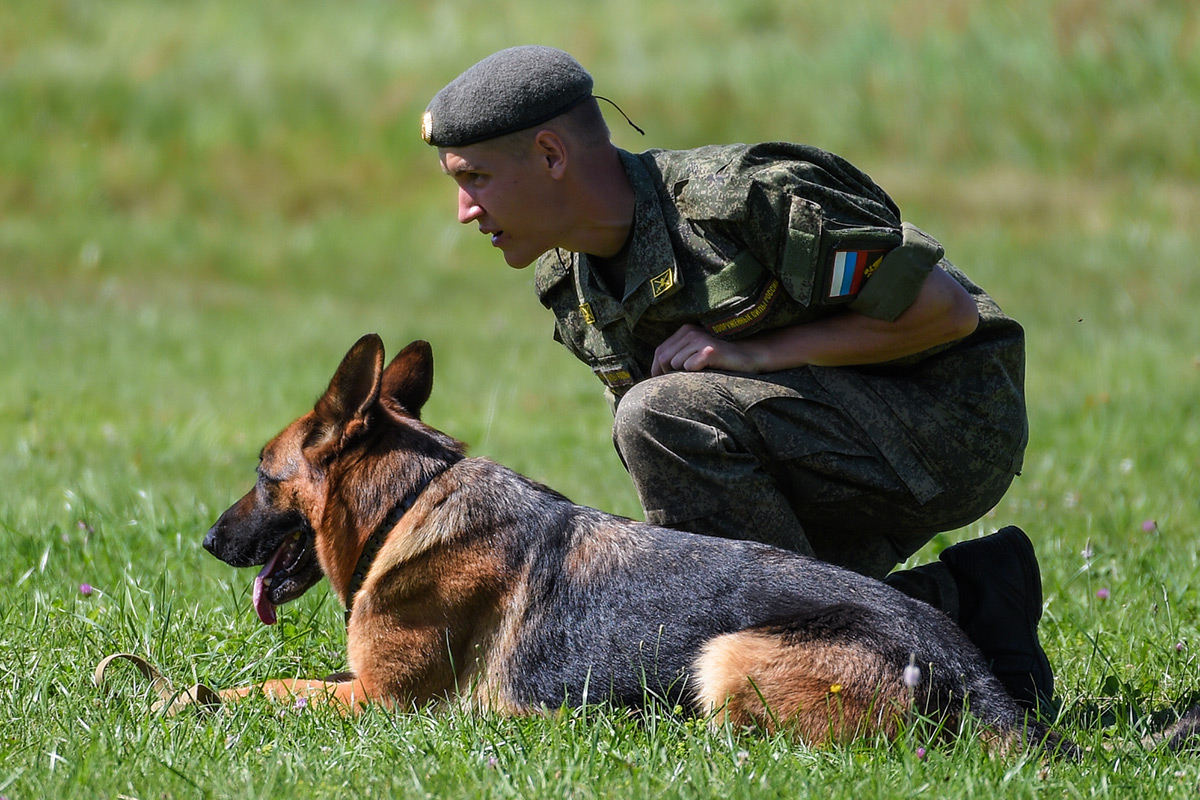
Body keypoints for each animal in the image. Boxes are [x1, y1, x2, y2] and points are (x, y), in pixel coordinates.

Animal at [199, 335, 1070, 753]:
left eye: (262, 476)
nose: (205, 540)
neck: (411, 501)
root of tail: (966, 668)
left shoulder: (381, 701)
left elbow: (267, 687)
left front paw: (186, 696)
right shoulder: (361, 685)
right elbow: (280, 680)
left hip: (725, 657)